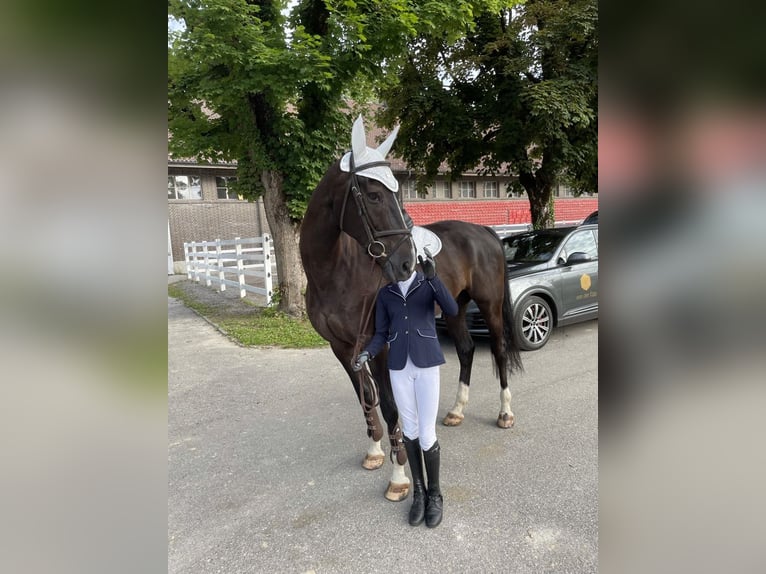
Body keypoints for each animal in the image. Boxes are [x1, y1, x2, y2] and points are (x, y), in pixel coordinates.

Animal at [299, 115, 523, 501]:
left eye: (396, 190)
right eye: (374, 194)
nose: (406, 263)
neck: (337, 271)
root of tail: (483, 231)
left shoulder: (380, 346)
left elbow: (390, 406)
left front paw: (399, 476)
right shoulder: (343, 348)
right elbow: (366, 397)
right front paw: (374, 451)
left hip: (490, 306)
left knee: (497, 349)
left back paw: (505, 413)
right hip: (455, 308)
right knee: (466, 349)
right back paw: (456, 411)